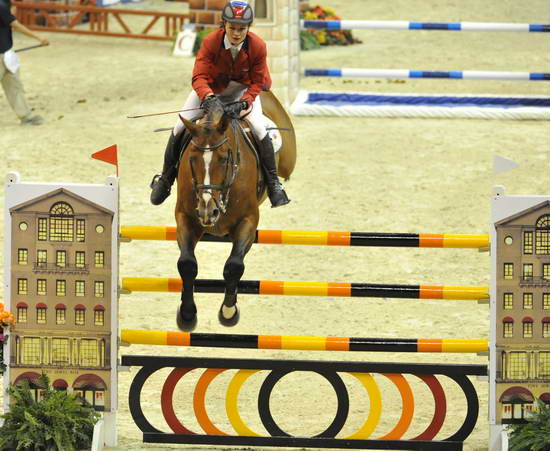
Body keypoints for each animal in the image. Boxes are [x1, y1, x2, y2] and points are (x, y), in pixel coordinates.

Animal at [176, 92, 298, 332]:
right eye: (192, 158)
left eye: (224, 158)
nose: (208, 210)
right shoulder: (185, 217)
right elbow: (187, 264)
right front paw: (187, 314)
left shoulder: (248, 220)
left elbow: (233, 266)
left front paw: (228, 312)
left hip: (288, 160)